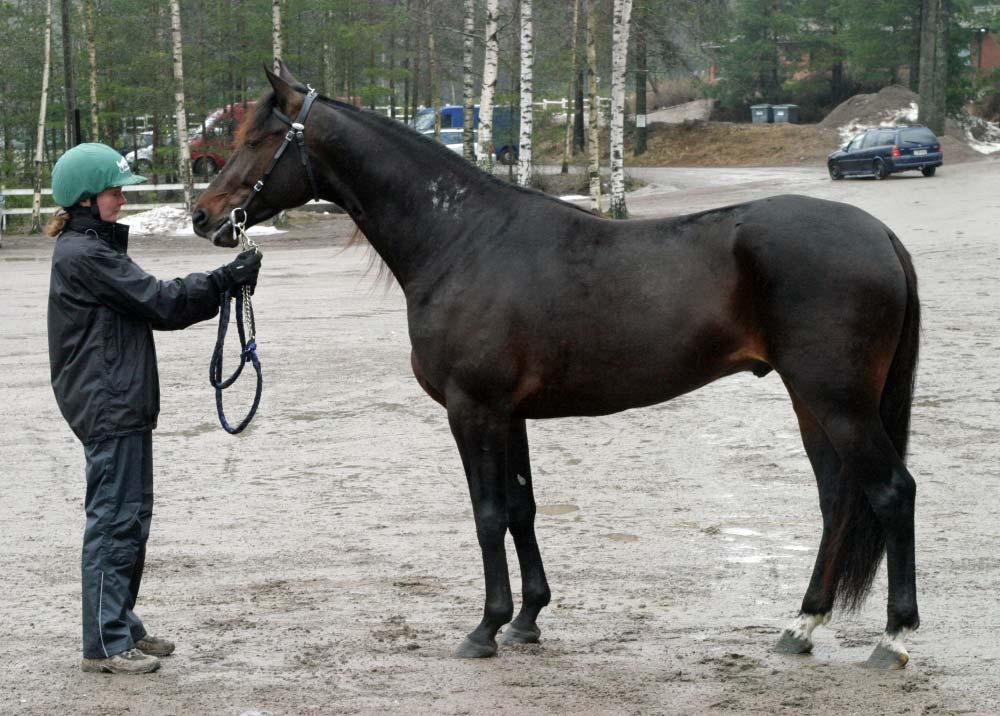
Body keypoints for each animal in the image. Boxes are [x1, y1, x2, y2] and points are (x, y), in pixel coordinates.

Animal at [193, 64, 920, 668]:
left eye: (259, 139)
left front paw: (485, 628)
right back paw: (801, 626)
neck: (461, 240)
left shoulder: (474, 409)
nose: (203, 216)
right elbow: (522, 508)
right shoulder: (510, 414)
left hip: (838, 402)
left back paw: (893, 639)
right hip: (812, 403)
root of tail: (881, 235)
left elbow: (488, 512)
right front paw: (528, 620)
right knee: (837, 501)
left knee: (891, 492)